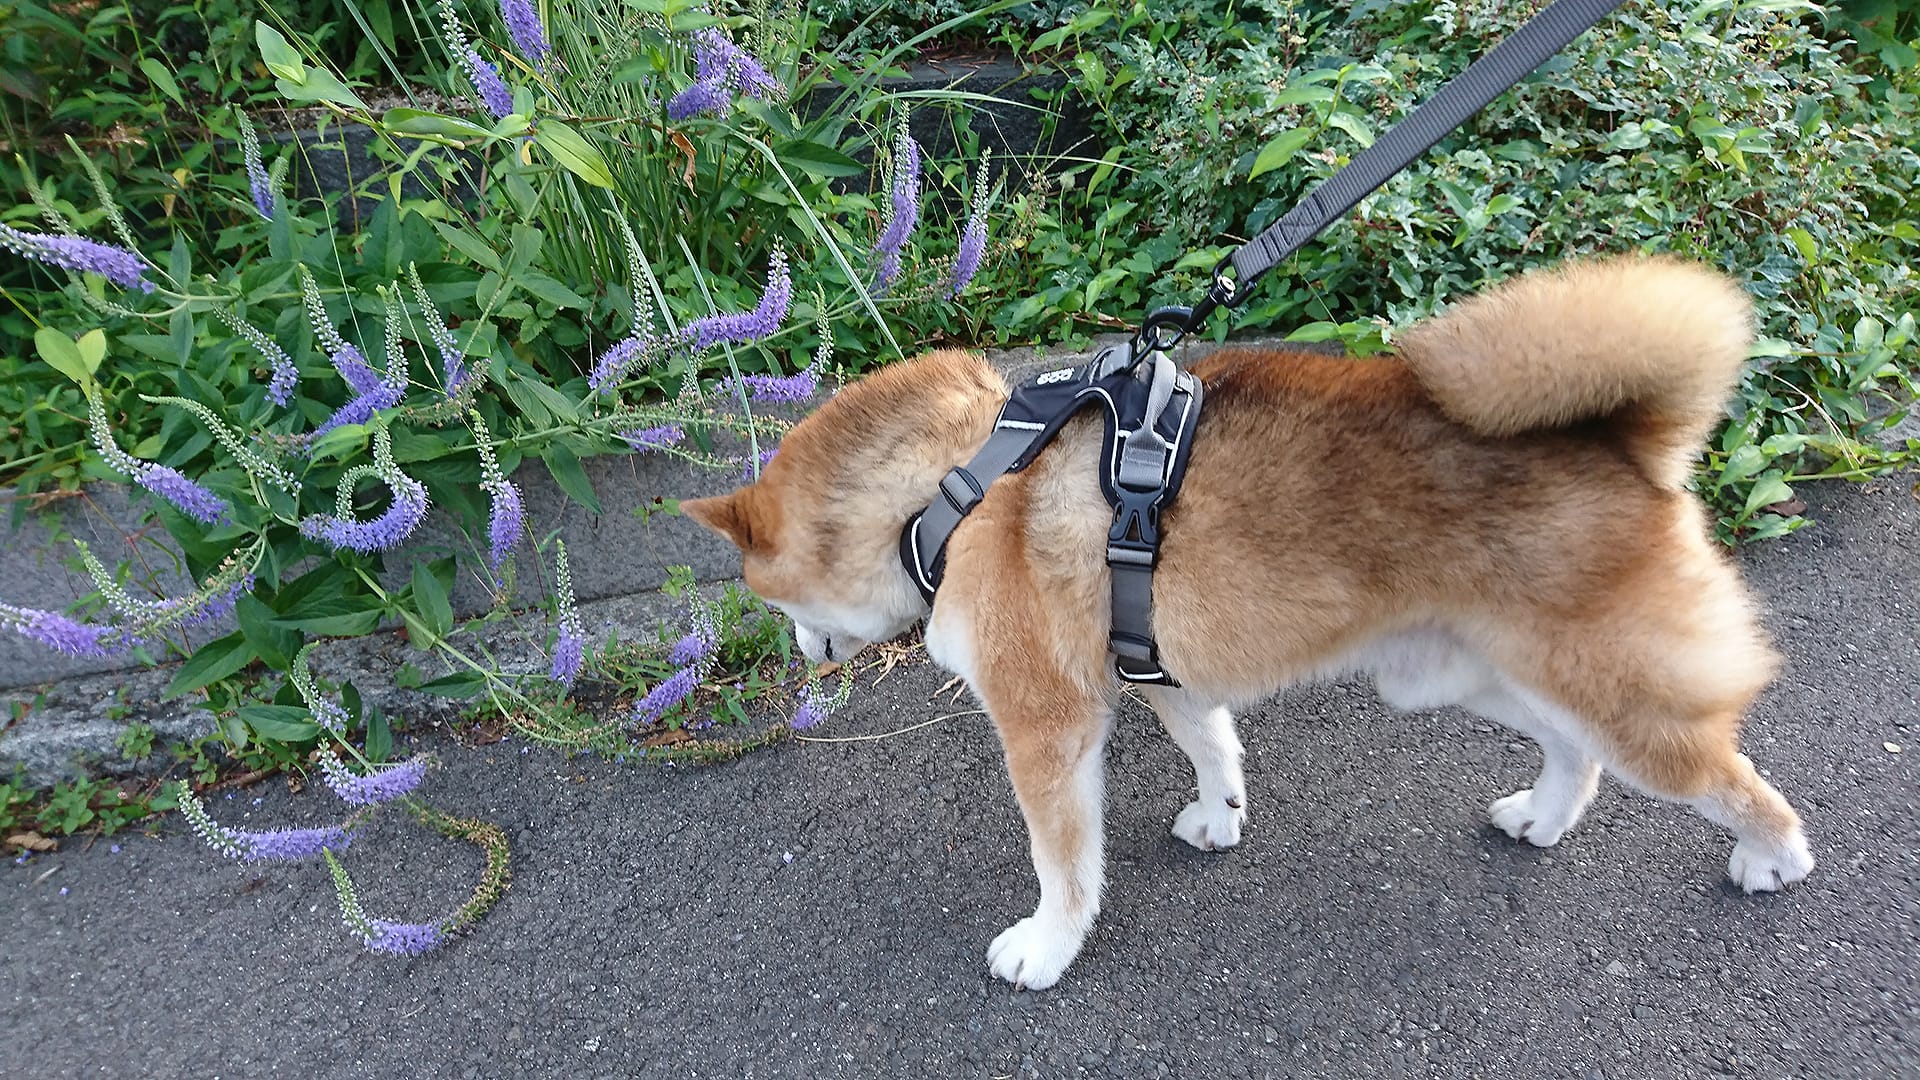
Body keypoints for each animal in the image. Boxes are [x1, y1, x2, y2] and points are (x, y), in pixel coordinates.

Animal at [679, 255, 1812, 991]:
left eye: (769, 600)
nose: (798, 654)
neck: (952, 484)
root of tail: (1628, 445)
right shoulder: (1158, 668)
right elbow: (1215, 747)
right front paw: (1220, 818)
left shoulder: (1046, 724)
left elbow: (1063, 863)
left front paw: (1048, 947)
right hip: (1468, 673)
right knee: (1576, 750)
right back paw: (1543, 815)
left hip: (1617, 695)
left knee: (1725, 779)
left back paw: (1774, 860)